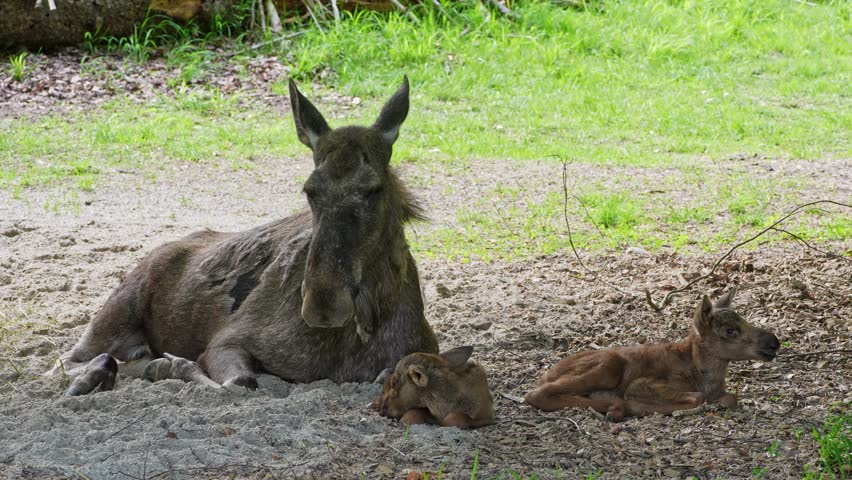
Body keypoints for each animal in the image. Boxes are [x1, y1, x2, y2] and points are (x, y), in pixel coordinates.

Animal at [525, 287, 780, 421]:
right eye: (729, 330)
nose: (774, 343)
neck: (705, 377)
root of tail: (545, 374)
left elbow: (731, 398)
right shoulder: (642, 384)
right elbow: (697, 397)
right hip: (609, 365)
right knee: (536, 394)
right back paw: (618, 406)